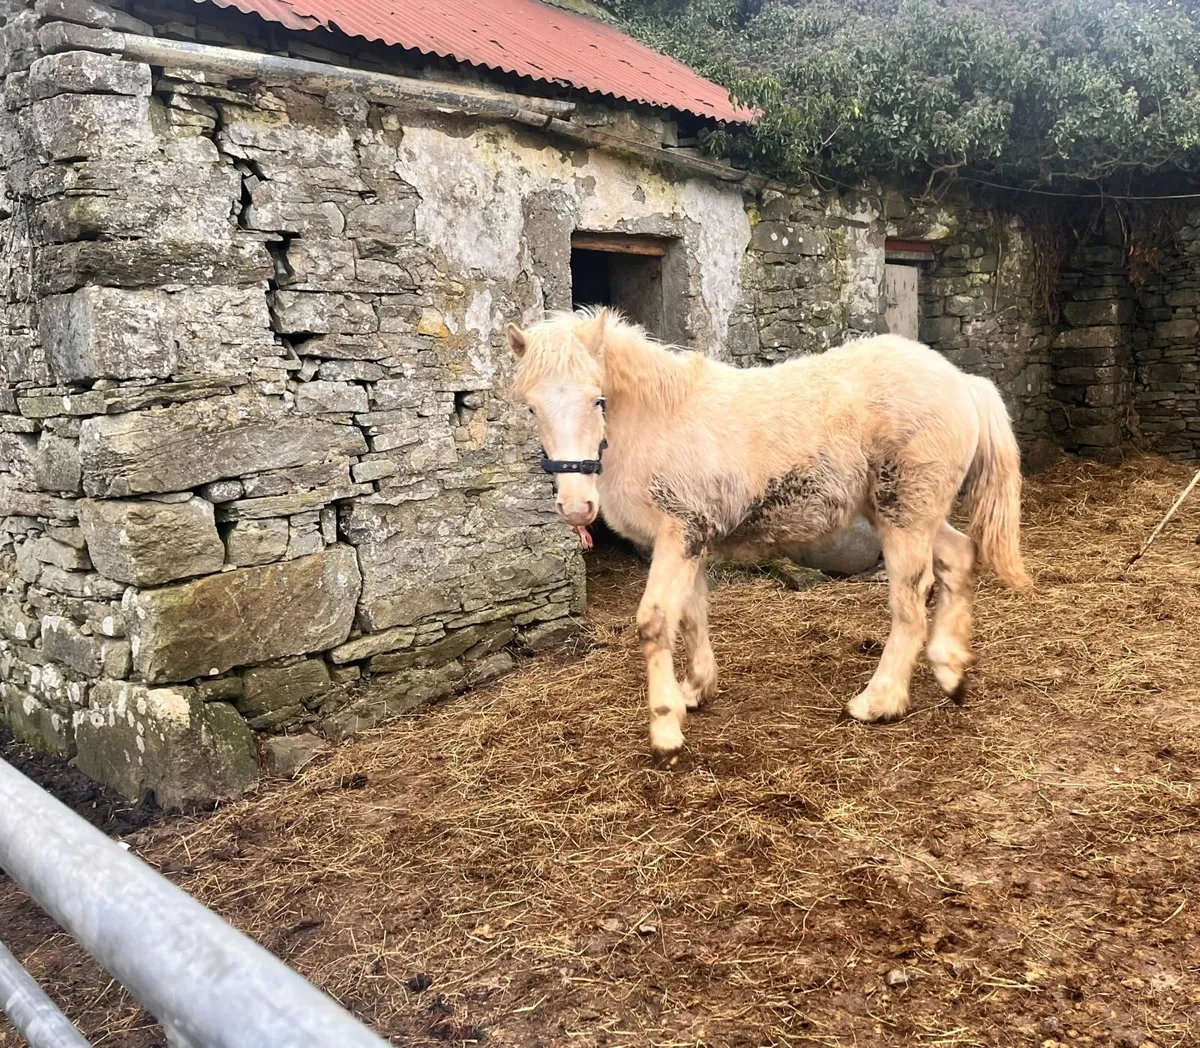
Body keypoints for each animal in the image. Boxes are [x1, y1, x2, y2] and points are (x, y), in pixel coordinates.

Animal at [506, 306, 1031, 761]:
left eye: (597, 399)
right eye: (531, 409)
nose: (576, 507)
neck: (660, 420)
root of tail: (963, 382)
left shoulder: (679, 536)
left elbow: (655, 624)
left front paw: (665, 730)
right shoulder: (691, 540)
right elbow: (692, 616)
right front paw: (696, 692)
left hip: (905, 515)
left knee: (909, 602)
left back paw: (878, 702)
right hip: (908, 514)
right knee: (959, 557)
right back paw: (951, 670)